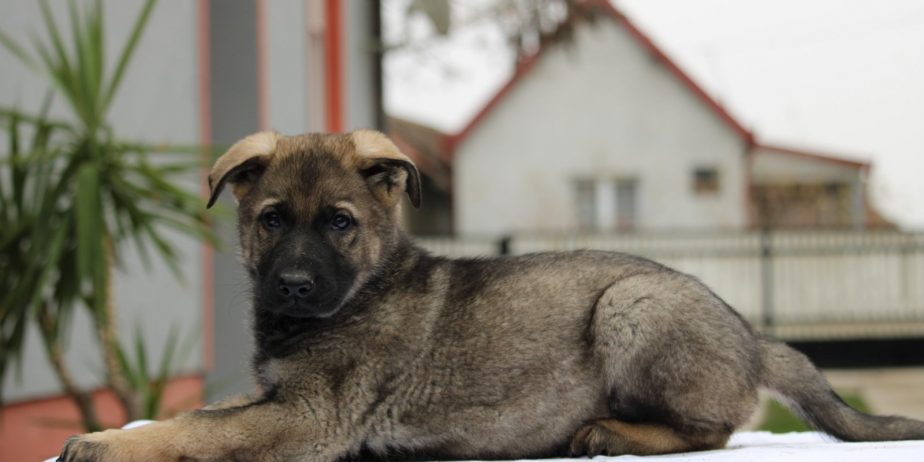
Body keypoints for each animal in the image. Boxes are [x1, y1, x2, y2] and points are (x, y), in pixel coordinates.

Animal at [59, 131, 924, 462]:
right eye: (271, 220)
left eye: (339, 222)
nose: (296, 285)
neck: (358, 290)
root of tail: (751, 336)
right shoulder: (280, 397)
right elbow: (203, 414)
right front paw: (122, 427)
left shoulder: (310, 416)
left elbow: (200, 432)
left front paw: (107, 443)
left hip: (631, 305)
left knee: (711, 431)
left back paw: (610, 433)